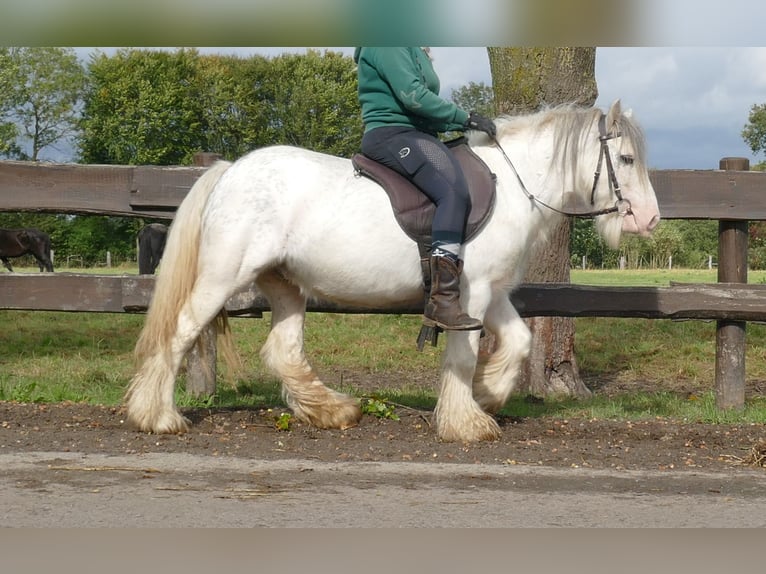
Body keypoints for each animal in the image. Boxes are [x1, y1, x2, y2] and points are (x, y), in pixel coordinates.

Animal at [124, 99, 660, 444]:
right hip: (223, 277)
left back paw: (332, 410)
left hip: (286, 284)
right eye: (627, 158)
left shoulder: (494, 293)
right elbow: (463, 354)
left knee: (283, 349)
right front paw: (466, 423)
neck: (513, 183)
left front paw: (486, 394)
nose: (650, 219)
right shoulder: (470, 294)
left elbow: (519, 342)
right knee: (180, 332)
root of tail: (230, 170)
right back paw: (158, 417)